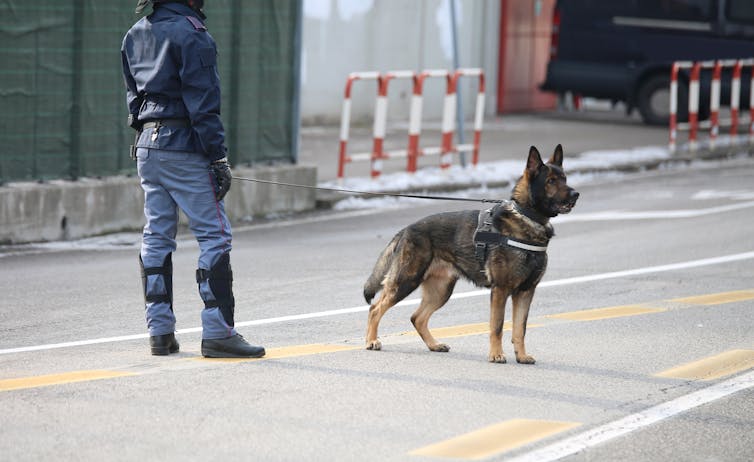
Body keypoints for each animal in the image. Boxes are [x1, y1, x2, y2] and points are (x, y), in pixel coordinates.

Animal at [362, 146, 580, 362]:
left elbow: (520, 328)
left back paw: (434, 345)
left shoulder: (526, 292)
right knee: (375, 309)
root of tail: (406, 229)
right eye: (551, 181)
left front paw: (522, 356)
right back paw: (371, 341)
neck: (527, 217)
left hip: (440, 291)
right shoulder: (500, 290)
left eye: (564, 178)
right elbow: (497, 326)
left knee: (417, 318)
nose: (576, 194)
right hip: (406, 281)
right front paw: (496, 354)